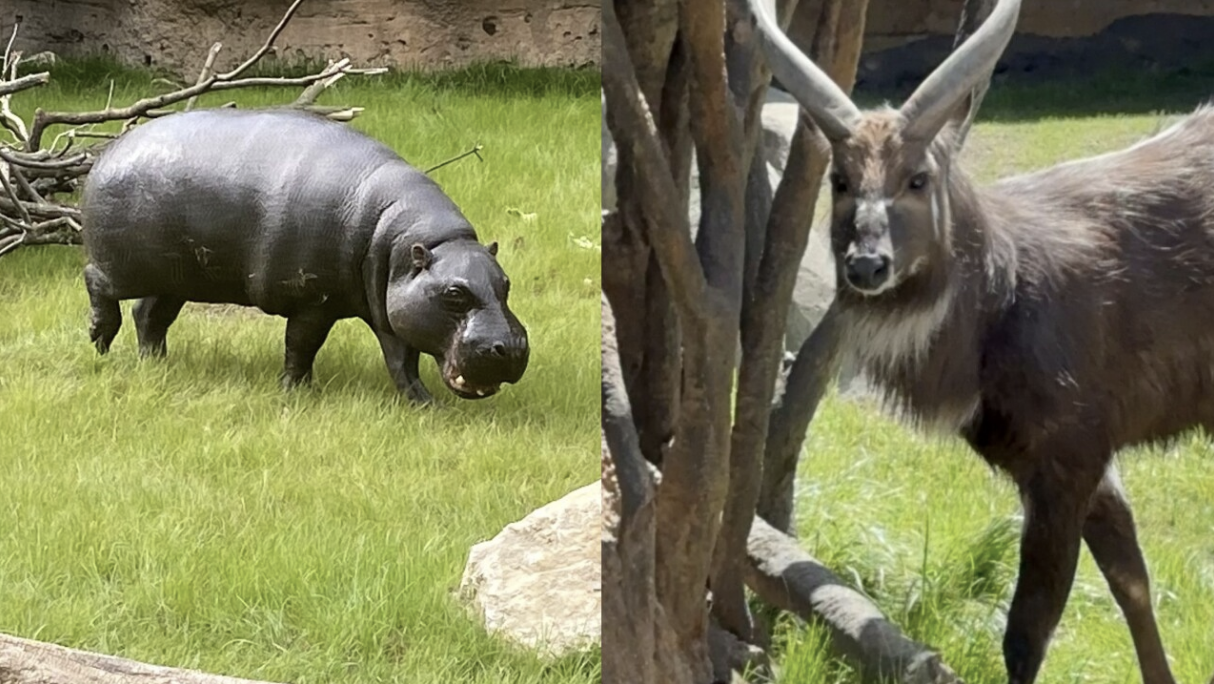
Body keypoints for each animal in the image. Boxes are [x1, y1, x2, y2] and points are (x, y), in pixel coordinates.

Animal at [80, 107, 529, 402]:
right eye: (454, 294)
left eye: (506, 284)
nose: (512, 347)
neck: (406, 241)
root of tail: (109, 151)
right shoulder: (313, 300)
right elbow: (301, 344)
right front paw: (296, 392)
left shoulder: (392, 307)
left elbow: (401, 360)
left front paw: (424, 404)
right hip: (125, 266)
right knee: (97, 281)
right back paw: (99, 340)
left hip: (176, 276)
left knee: (149, 315)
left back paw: (156, 364)